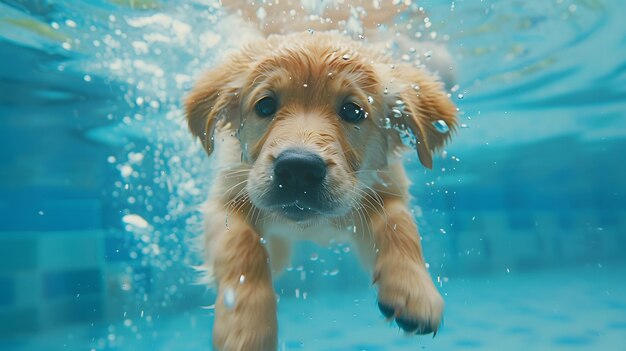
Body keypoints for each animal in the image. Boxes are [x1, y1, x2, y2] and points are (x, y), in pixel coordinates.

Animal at [183, 4, 456, 351]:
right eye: (265, 105)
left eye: (353, 111)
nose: (298, 169)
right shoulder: (227, 194)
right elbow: (242, 248)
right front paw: (246, 328)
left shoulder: (384, 185)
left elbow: (399, 226)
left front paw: (414, 292)